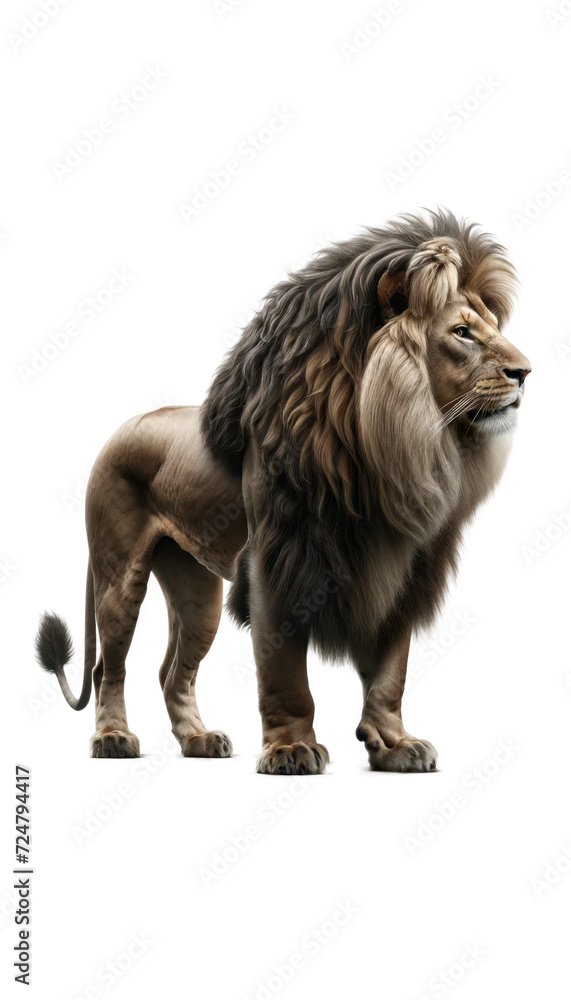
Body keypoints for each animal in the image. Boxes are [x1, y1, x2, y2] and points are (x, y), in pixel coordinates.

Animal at [35, 209, 531, 774]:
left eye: (493, 328)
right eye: (463, 332)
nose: (525, 373)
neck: (380, 453)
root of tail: (119, 430)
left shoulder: (400, 571)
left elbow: (390, 672)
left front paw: (394, 745)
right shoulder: (279, 562)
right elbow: (286, 674)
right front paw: (291, 749)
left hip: (196, 590)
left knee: (173, 670)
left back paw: (199, 740)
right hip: (119, 577)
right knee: (108, 668)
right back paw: (114, 739)